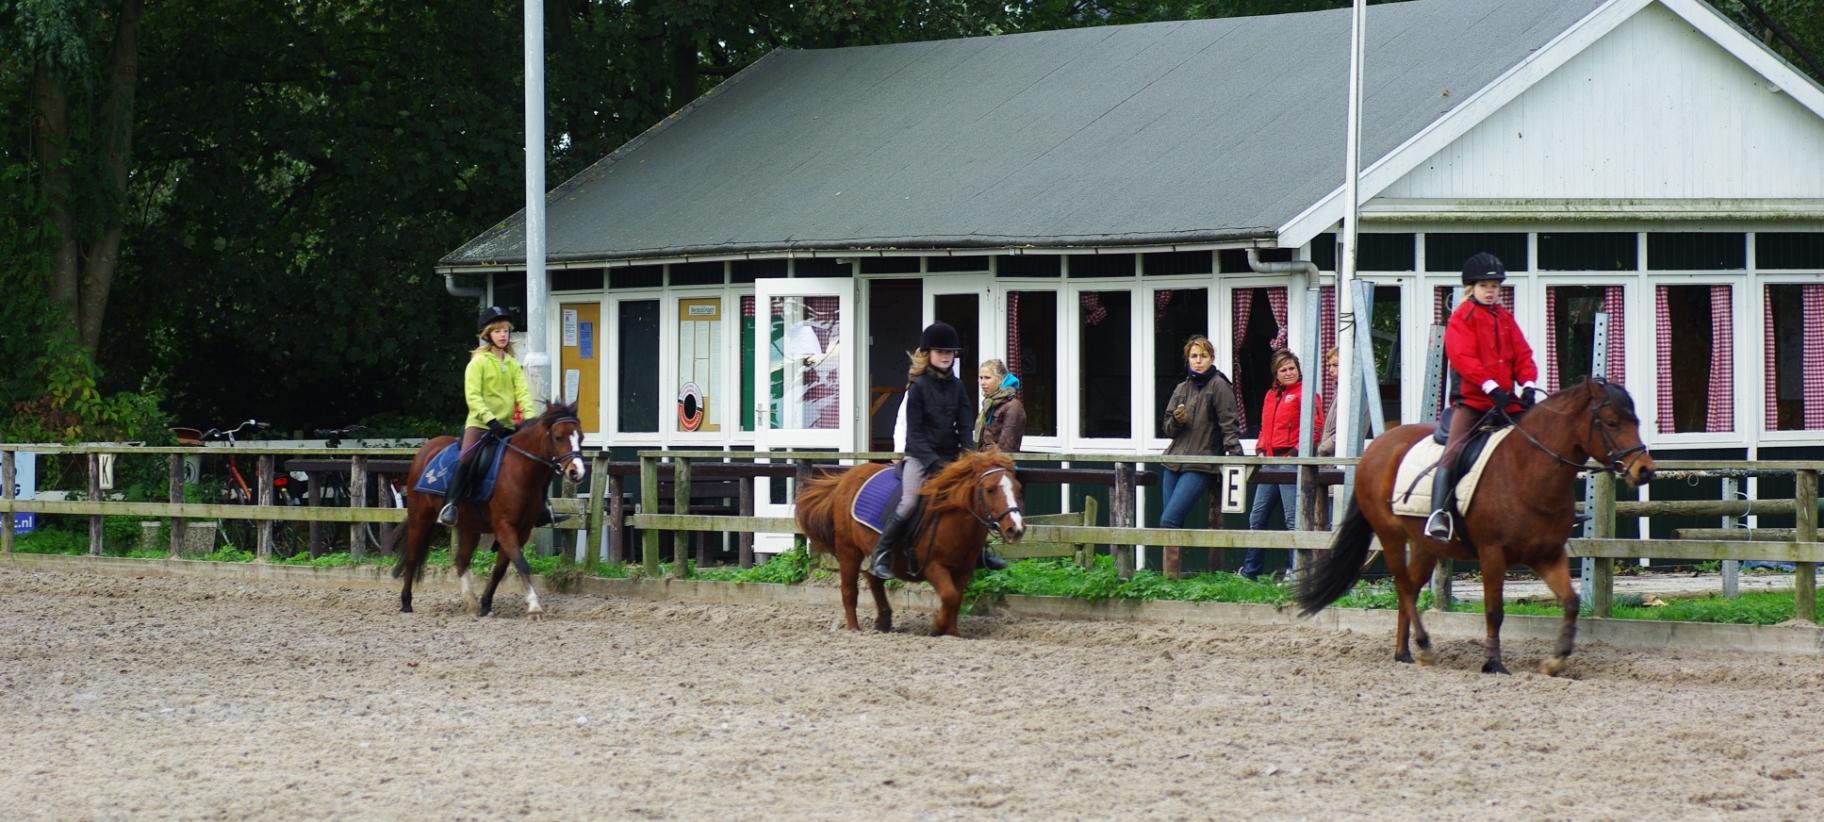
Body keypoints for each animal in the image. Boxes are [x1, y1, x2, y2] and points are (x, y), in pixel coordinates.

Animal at [395, 402, 587, 619]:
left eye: (581, 437)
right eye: (558, 437)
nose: (577, 472)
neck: (521, 470)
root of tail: (426, 449)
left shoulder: (522, 530)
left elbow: (500, 569)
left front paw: (486, 604)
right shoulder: (504, 526)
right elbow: (521, 563)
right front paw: (534, 606)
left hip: (469, 527)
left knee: (461, 560)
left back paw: (471, 603)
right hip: (420, 518)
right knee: (412, 557)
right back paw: (406, 603)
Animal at [795, 450, 1028, 637]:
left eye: (1018, 489)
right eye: (990, 489)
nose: (1015, 529)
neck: (954, 520)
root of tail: (846, 478)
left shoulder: (965, 569)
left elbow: (956, 598)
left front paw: (952, 632)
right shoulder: (933, 566)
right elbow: (950, 595)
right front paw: (937, 627)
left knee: (874, 578)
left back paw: (884, 621)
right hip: (848, 550)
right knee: (849, 590)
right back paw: (854, 628)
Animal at [1291, 379, 1663, 674]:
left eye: (1636, 421)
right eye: (1611, 422)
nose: (1644, 470)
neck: (1528, 470)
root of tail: (1378, 446)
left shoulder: (1547, 554)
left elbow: (1570, 602)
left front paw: (1556, 660)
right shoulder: (1492, 553)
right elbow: (1494, 610)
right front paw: (1494, 663)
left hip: (1425, 545)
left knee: (1409, 588)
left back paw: (1405, 652)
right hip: (1391, 535)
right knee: (1402, 586)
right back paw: (1423, 645)